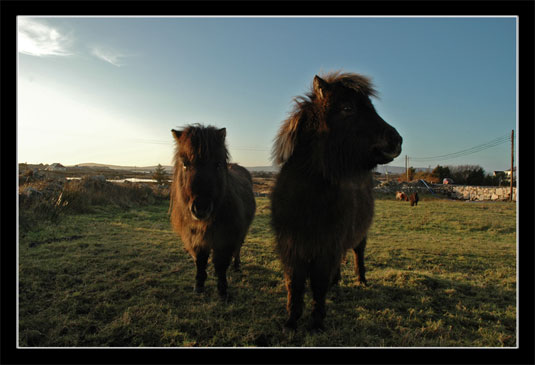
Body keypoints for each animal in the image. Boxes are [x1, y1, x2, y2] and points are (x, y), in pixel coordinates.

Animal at [171, 124, 256, 298]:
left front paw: (222, 290)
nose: (201, 208)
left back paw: (237, 266)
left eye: (217, 164)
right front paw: (199, 285)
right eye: (185, 164)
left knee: (238, 248)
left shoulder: (225, 239)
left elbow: (221, 265)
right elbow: (200, 262)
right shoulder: (195, 238)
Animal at [272, 71, 402, 330]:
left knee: (358, 253)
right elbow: (294, 282)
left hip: (359, 235)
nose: (397, 140)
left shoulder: (327, 246)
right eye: (347, 107)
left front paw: (316, 322)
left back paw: (361, 280)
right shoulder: (291, 246)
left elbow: (318, 283)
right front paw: (291, 320)